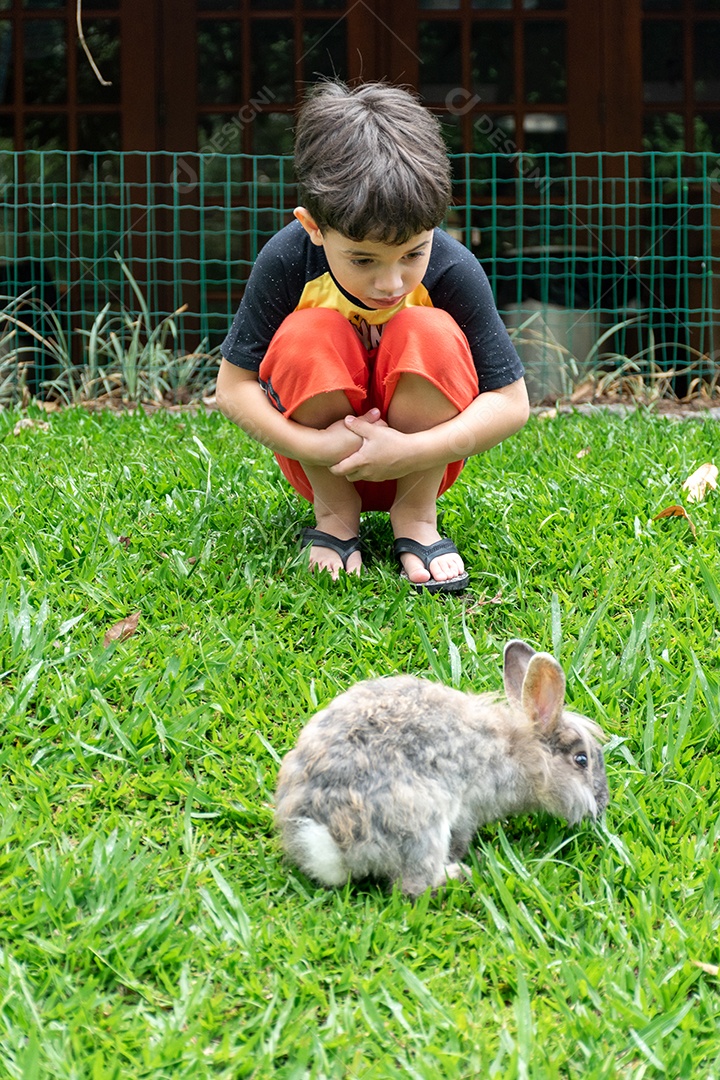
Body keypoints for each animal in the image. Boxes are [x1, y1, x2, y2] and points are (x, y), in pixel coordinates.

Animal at [274, 639, 609, 898]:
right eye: (581, 760)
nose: (602, 804)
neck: (518, 750)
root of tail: (331, 838)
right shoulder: (468, 811)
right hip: (424, 824)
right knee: (412, 885)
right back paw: (460, 874)